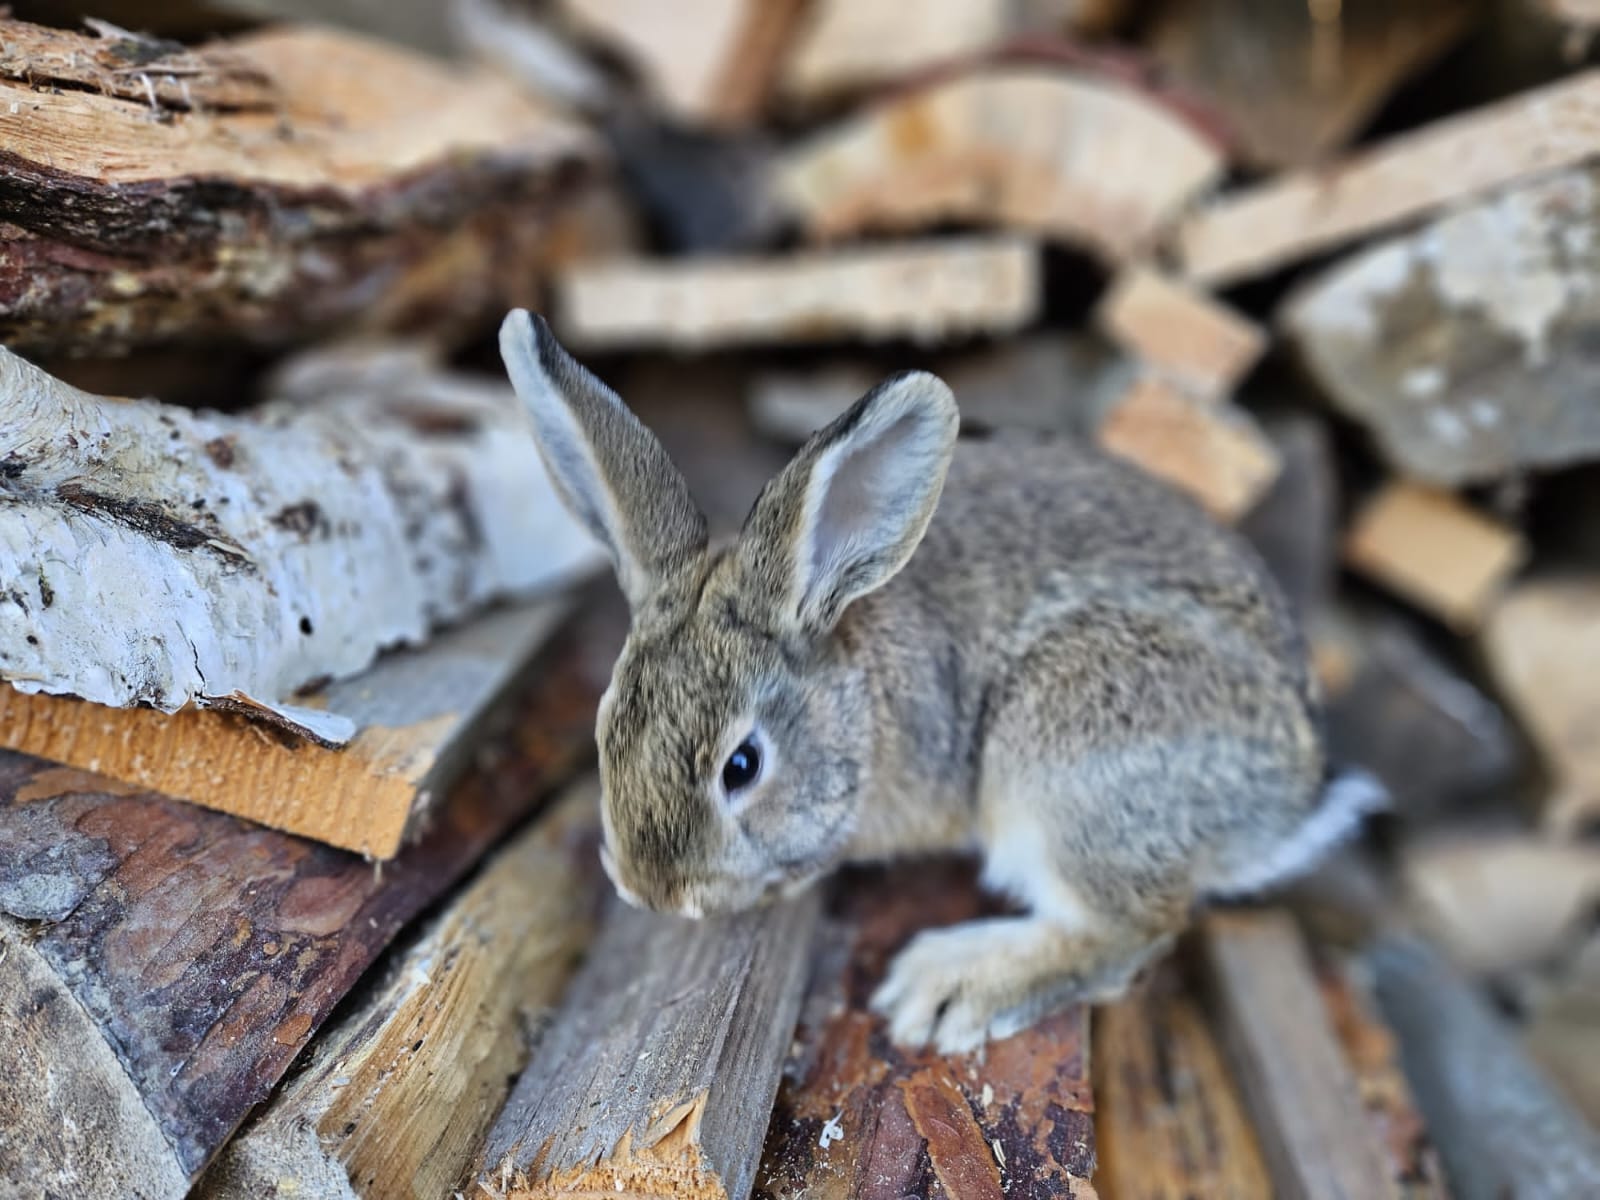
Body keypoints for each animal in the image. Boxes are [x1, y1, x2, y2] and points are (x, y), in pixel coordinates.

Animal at [500, 308, 1384, 1054]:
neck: (856, 686)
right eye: (607, 727)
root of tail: (1286, 803)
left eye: (741, 767)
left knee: (1125, 930)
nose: (651, 891)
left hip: (1060, 761)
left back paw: (947, 987)